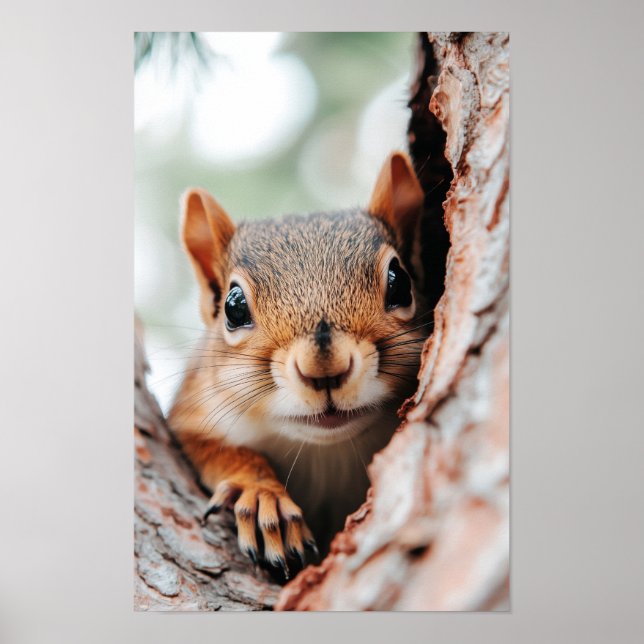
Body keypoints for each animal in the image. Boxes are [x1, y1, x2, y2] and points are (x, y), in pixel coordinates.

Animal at [168, 151, 428, 578]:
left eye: (400, 282)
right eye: (233, 307)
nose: (324, 368)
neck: (325, 452)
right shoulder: (190, 414)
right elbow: (216, 450)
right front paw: (261, 495)